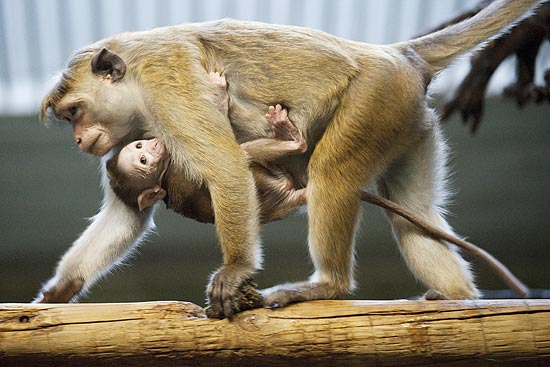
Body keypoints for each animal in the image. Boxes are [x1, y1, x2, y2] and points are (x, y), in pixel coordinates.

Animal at [37, 0, 540, 318]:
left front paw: (236, 269)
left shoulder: (167, 85)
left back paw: (328, 284)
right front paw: (57, 292)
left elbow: (225, 166)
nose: (79, 139)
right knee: (412, 216)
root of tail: (396, 54)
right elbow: (128, 214)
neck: (137, 78)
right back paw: (459, 298)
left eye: (75, 112)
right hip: (408, 121)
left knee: (331, 174)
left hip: (376, 97)